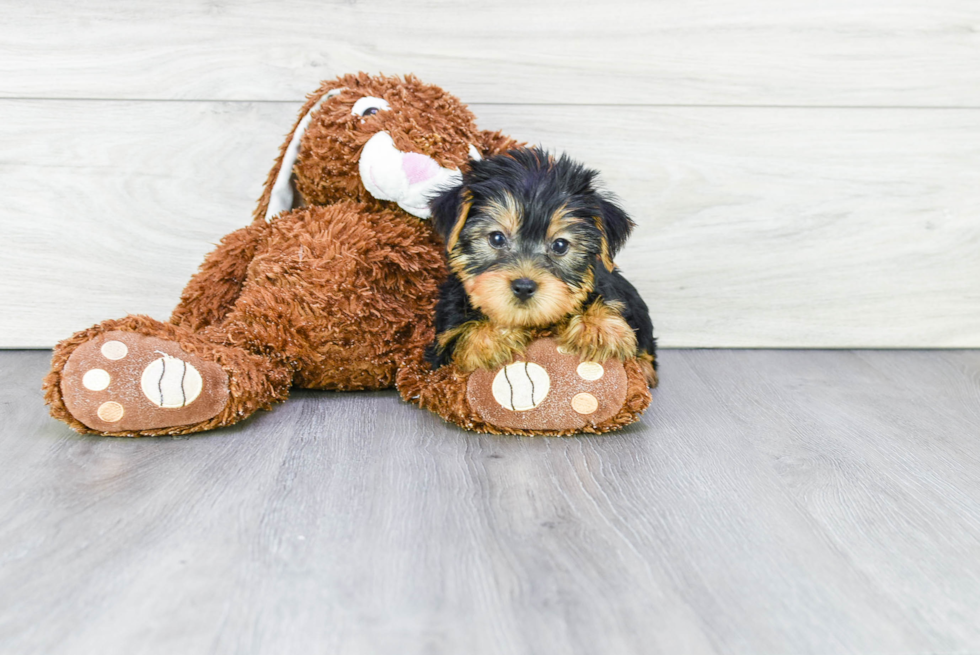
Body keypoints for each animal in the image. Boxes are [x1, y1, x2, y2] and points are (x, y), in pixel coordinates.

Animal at [424, 146, 656, 386]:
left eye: (560, 245)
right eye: (497, 238)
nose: (524, 286)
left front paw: (599, 327)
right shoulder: (443, 340)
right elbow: (458, 337)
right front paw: (493, 337)